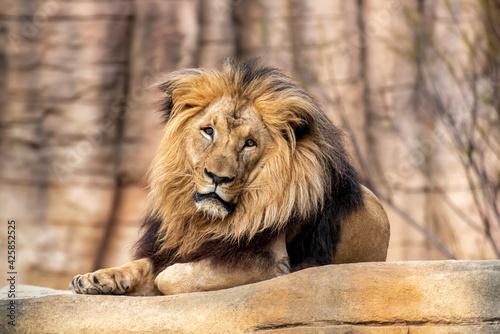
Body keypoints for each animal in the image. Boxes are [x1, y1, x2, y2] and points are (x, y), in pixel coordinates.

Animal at [70, 59, 390, 294]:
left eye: (250, 143)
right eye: (208, 131)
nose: (217, 177)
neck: (202, 222)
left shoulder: (269, 263)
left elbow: (170, 277)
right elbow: (141, 265)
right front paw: (97, 278)